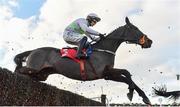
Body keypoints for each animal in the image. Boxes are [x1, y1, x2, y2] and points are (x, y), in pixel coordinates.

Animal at [13, 17, 152, 104]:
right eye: (135, 28)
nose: (150, 42)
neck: (103, 49)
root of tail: (33, 50)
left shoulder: (108, 74)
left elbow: (127, 76)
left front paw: (143, 97)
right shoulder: (104, 72)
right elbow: (126, 73)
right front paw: (131, 93)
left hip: (41, 75)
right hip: (33, 68)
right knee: (19, 70)